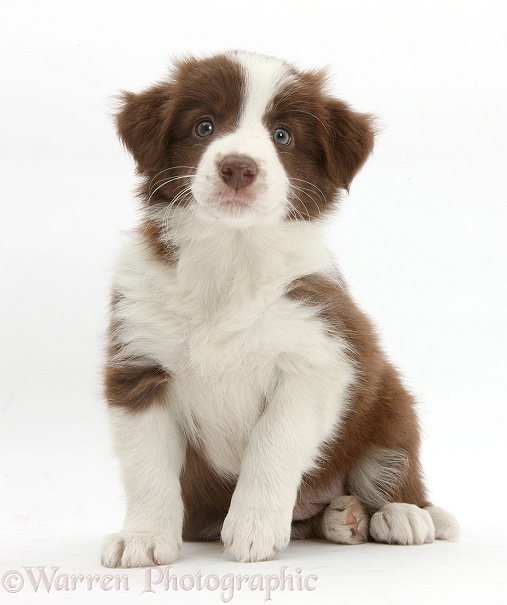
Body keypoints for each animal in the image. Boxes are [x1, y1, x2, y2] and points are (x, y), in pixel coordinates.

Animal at [101, 50, 458, 568]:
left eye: (283, 136)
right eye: (204, 126)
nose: (238, 168)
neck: (232, 259)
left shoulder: (317, 358)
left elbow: (274, 442)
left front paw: (253, 527)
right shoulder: (138, 368)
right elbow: (146, 468)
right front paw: (143, 537)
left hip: (391, 405)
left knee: (393, 467)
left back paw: (403, 513)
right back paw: (341, 517)